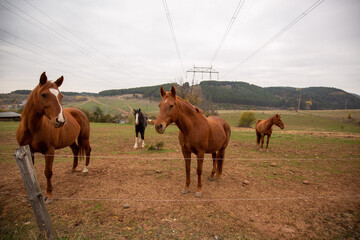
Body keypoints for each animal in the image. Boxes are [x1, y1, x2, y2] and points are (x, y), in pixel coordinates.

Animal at [16, 71, 91, 202]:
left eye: (61, 96)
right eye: (44, 94)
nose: (60, 121)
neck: (32, 129)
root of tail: (80, 112)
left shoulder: (49, 151)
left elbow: (48, 172)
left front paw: (49, 195)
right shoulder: (28, 152)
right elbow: (30, 172)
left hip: (84, 138)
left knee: (87, 150)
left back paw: (85, 169)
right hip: (70, 140)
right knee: (76, 150)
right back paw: (73, 168)